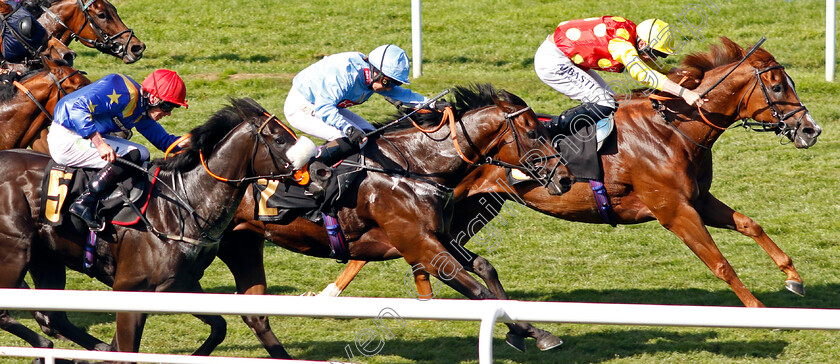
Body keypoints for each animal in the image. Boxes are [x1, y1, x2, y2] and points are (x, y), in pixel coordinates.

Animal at [213, 83, 576, 358]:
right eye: (533, 132)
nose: (566, 179)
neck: (414, 167)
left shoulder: (437, 237)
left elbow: (486, 268)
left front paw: (530, 332)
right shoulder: (421, 246)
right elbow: (478, 292)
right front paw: (527, 331)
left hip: (241, 246)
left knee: (254, 313)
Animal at [288, 37, 820, 308]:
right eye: (776, 84)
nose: (811, 129)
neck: (672, 127)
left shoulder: (697, 200)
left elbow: (751, 224)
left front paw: (793, 278)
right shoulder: (673, 210)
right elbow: (720, 263)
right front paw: (760, 313)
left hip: (469, 207)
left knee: (413, 253)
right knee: (392, 251)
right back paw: (330, 293)